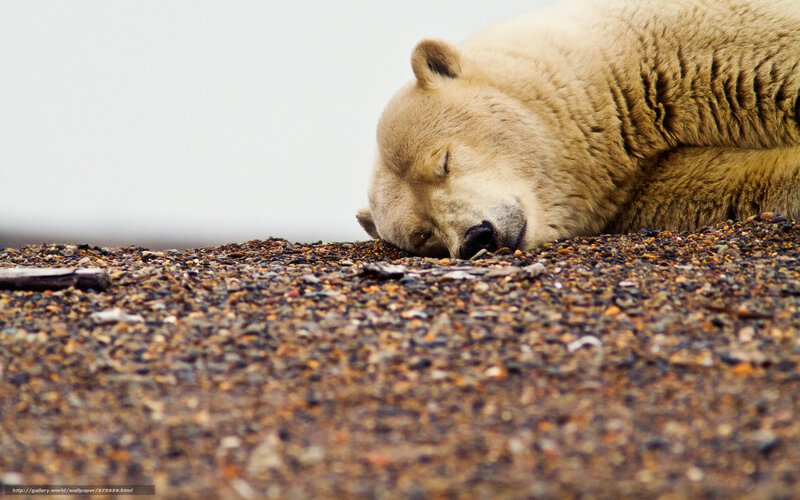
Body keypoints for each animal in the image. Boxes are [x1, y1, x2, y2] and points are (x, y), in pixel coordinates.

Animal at [356, 0, 800, 259]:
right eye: (422, 235)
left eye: (444, 162)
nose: (476, 237)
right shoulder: (640, 186)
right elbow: (733, 182)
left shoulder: (700, 39)